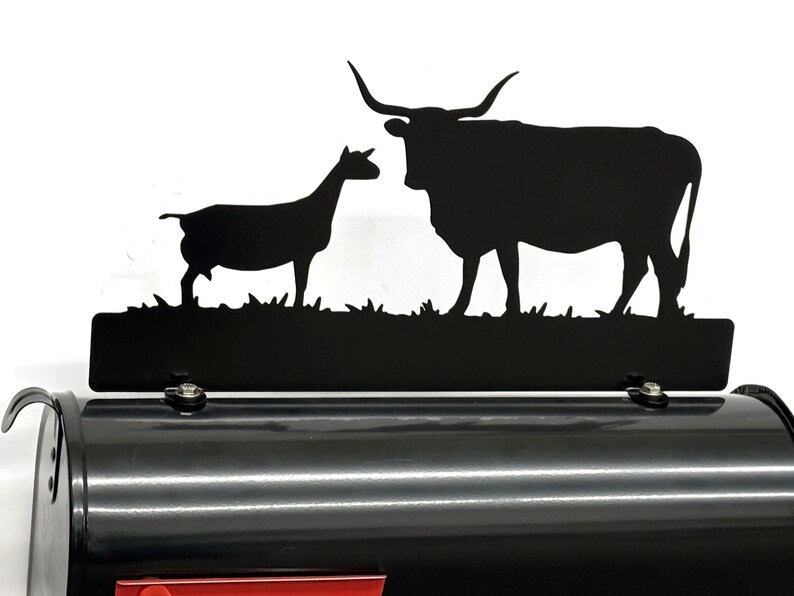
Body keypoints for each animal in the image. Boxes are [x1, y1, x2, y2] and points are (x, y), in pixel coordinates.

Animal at [160, 146, 379, 306]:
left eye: (365, 158)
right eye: (356, 161)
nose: (377, 171)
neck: (317, 207)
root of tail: (185, 218)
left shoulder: (301, 256)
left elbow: (301, 284)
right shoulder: (303, 254)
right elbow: (301, 284)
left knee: (186, 282)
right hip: (201, 257)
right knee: (185, 282)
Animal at [348, 62, 701, 318]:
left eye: (445, 140)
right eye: (410, 138)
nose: (415, 178)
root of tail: (678, 143)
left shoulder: (503, 231)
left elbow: (509, 270)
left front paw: (511, 313)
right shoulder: (478, 235)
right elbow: (471, 271)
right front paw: (456, 310)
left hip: (653, 228)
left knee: (665, 269)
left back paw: (661, 318)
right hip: (633, 233)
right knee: (640, 269)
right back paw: (617, 315)